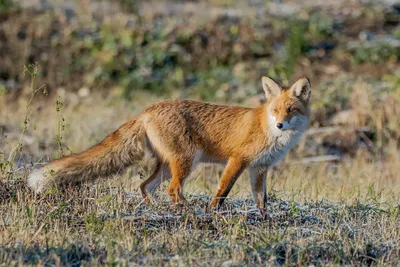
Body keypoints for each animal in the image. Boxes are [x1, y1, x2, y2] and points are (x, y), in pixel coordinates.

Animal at [28, 76, 310, 213]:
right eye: (275, 110)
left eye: (291, 110)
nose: (280, 125)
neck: (271, 134)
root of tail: (148, 109)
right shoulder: (238, 160)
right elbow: (222, 191)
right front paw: (213, 211)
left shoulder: (259, 168)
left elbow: (261, 199)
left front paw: (264, 218)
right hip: (186, 161)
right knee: (172, 189)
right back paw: (187, 210)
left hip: (168, 164)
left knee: (146, 186)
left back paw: (156, 209)